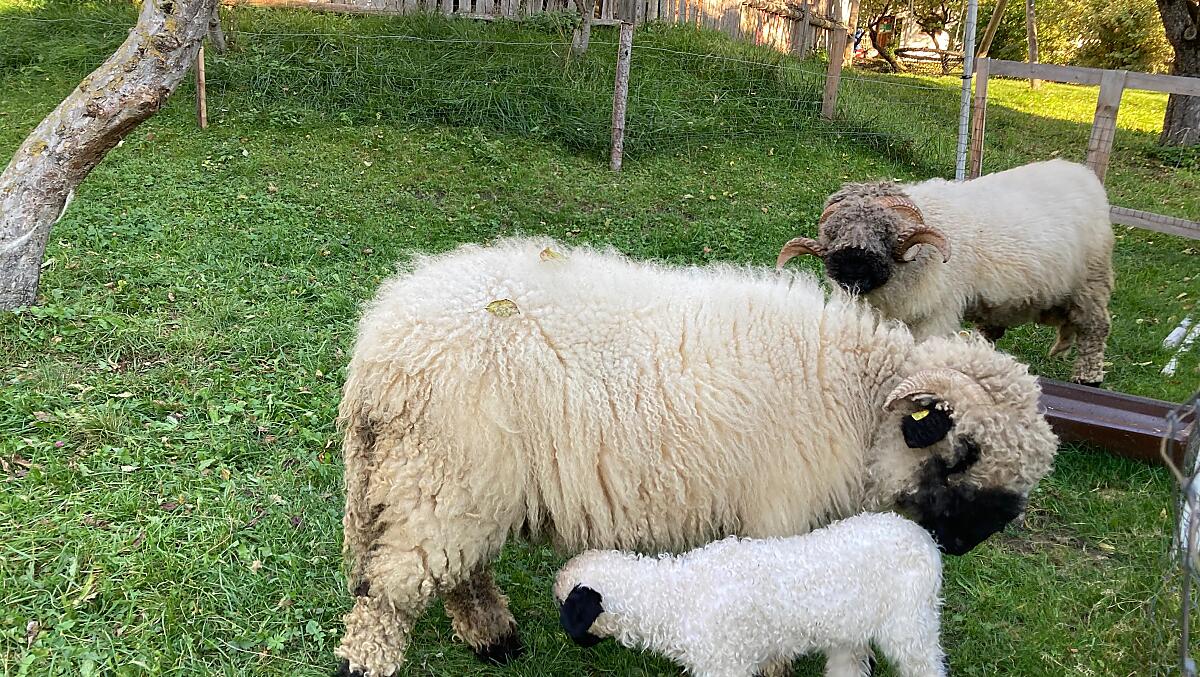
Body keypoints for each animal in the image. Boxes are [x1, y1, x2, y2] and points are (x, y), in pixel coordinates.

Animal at [555, 512, 945, 677]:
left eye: (565, 608)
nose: (569, 637)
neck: (674, 597)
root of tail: (922, 537)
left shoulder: (726, 664)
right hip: (850, 629)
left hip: (911, 623)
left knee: (926, 666)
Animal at [776, 159, 1114, 386]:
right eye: (833, 232)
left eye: (886, 231)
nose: (851, 266)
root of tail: (1084, 173)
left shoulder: (936, 314)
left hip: (1091, 283)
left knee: (1096, 328)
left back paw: (1089, 377)